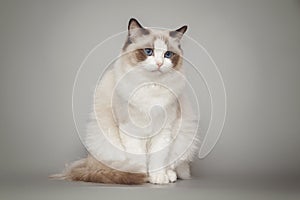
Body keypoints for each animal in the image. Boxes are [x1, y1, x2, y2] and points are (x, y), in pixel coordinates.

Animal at [52, 18, 199, 184]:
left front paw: (158, 177)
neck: (150, 86)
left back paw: (169, 175)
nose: (160, 63)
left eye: (168, 54)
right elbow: (138, 160)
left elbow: (158, 159)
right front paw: (142, 176)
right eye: (149, 51)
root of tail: (87, 161)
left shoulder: (164, 131)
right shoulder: (131, 130)